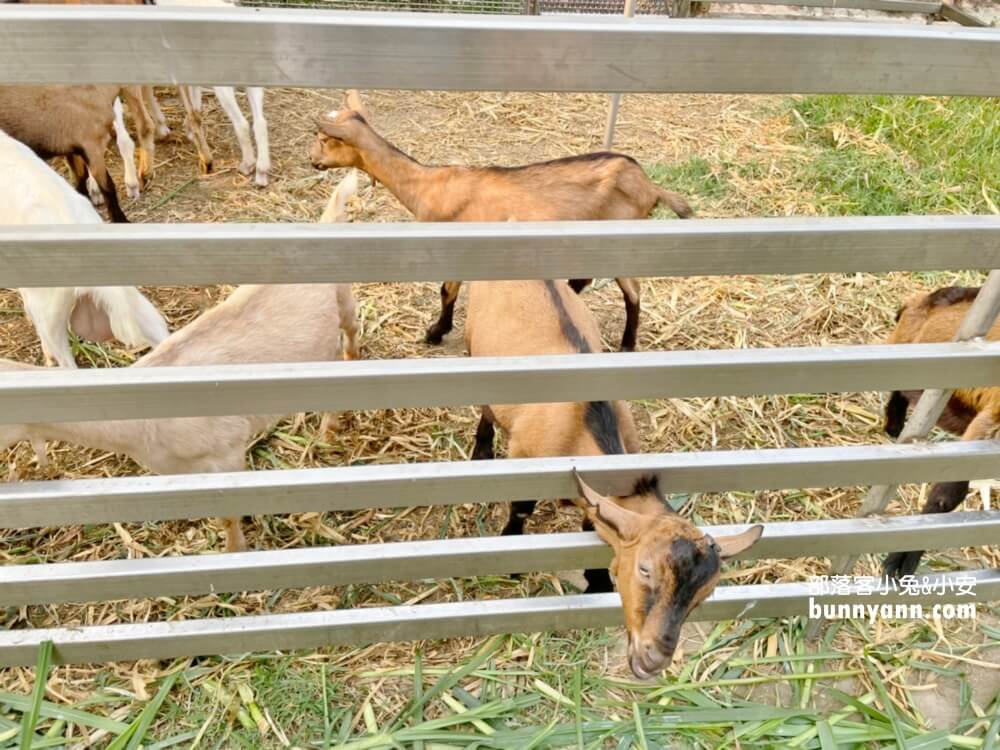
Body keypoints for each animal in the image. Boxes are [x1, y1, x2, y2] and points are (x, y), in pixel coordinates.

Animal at [0, 175, 360, 552]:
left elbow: (230, 513)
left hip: (343, 296)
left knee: (351, 332)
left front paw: (235, 551)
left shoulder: (227, 453)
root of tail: (327, 221)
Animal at [308, 90, 692, 352]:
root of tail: (649, 185)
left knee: (633, 291)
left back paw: (627, 344)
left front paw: (435, 332)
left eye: (325, 139)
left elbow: (446, 291)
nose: (312, 160)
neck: (426, 184)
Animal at [464, 278, 760, 680]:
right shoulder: (525, 458)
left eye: (705, 594)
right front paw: (511, 557)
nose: (654, 658)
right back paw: (481, 449)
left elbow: (594, 526)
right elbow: (521, 509)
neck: (584, 426)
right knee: (486, 408)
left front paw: (598, 583)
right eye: (644, 568)